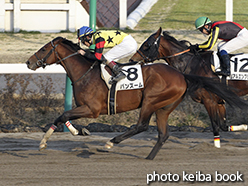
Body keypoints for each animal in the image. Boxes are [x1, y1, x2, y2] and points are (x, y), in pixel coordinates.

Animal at [26, 36, 246, 160]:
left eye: (44, 49)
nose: (28, 62)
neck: (85, 73)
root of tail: (182, 75)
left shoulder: (92, 109)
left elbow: (62, 116)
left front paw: (43, 143)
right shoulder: (83, 107)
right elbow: (64, 116)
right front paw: (79, 132)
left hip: (151, 100)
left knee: (142, 125)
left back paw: (110, 143)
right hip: (164, 107)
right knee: (163, 134)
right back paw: (148, 158)